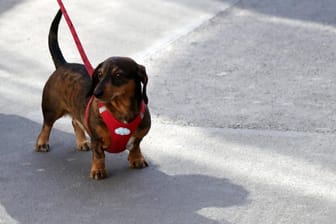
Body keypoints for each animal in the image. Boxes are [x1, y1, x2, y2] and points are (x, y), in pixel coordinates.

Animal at [35, 9, 150, 179]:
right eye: (100, 74)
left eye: (118, 75)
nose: (95, 93)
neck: (122, 109)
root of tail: (63, 65)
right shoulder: (97, 138)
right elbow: (99, 155)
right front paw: (98, 170)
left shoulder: (140, 135)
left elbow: (136, 145)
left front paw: (137, 159)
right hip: (51, 109)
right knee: (46, 125)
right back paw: (42, 142)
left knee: (75, 121)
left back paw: (82, 142)